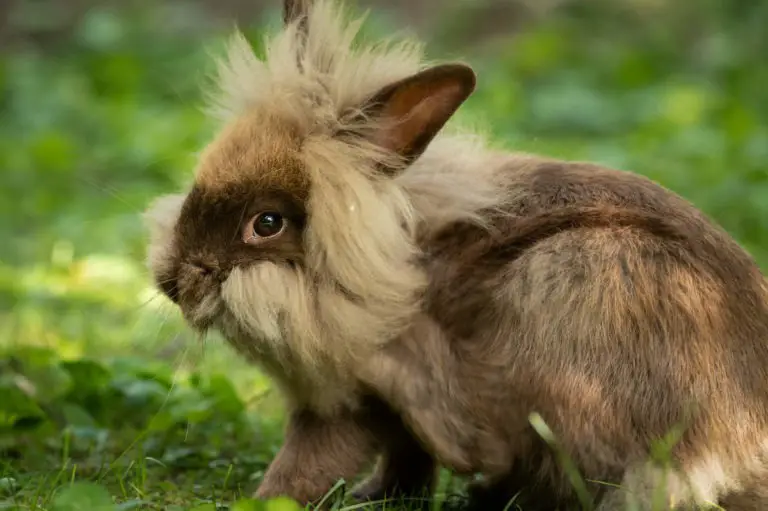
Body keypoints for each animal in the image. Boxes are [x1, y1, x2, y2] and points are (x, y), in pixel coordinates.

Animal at [142, 0, 768, 510]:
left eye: (266, 224)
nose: (177, 278)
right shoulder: (389, 418)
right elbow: (404, 462)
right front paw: (377, 497)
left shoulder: (351, 404)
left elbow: (306, 466)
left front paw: (261, 500)